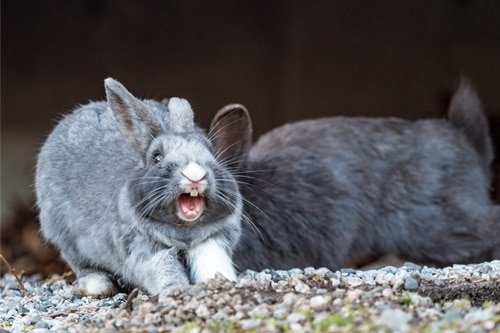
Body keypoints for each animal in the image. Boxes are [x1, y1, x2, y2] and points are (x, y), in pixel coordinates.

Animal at [35, 78, 250, 296]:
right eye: (157, 157)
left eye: (211, 153)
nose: (195, 174)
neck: (185, 231)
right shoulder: (145, 249)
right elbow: (164, 268)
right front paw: (174, 291)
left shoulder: (212, 240)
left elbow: (212, 261)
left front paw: (221, 283)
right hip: (65, 235)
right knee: (81, 264)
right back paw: (98, 286)